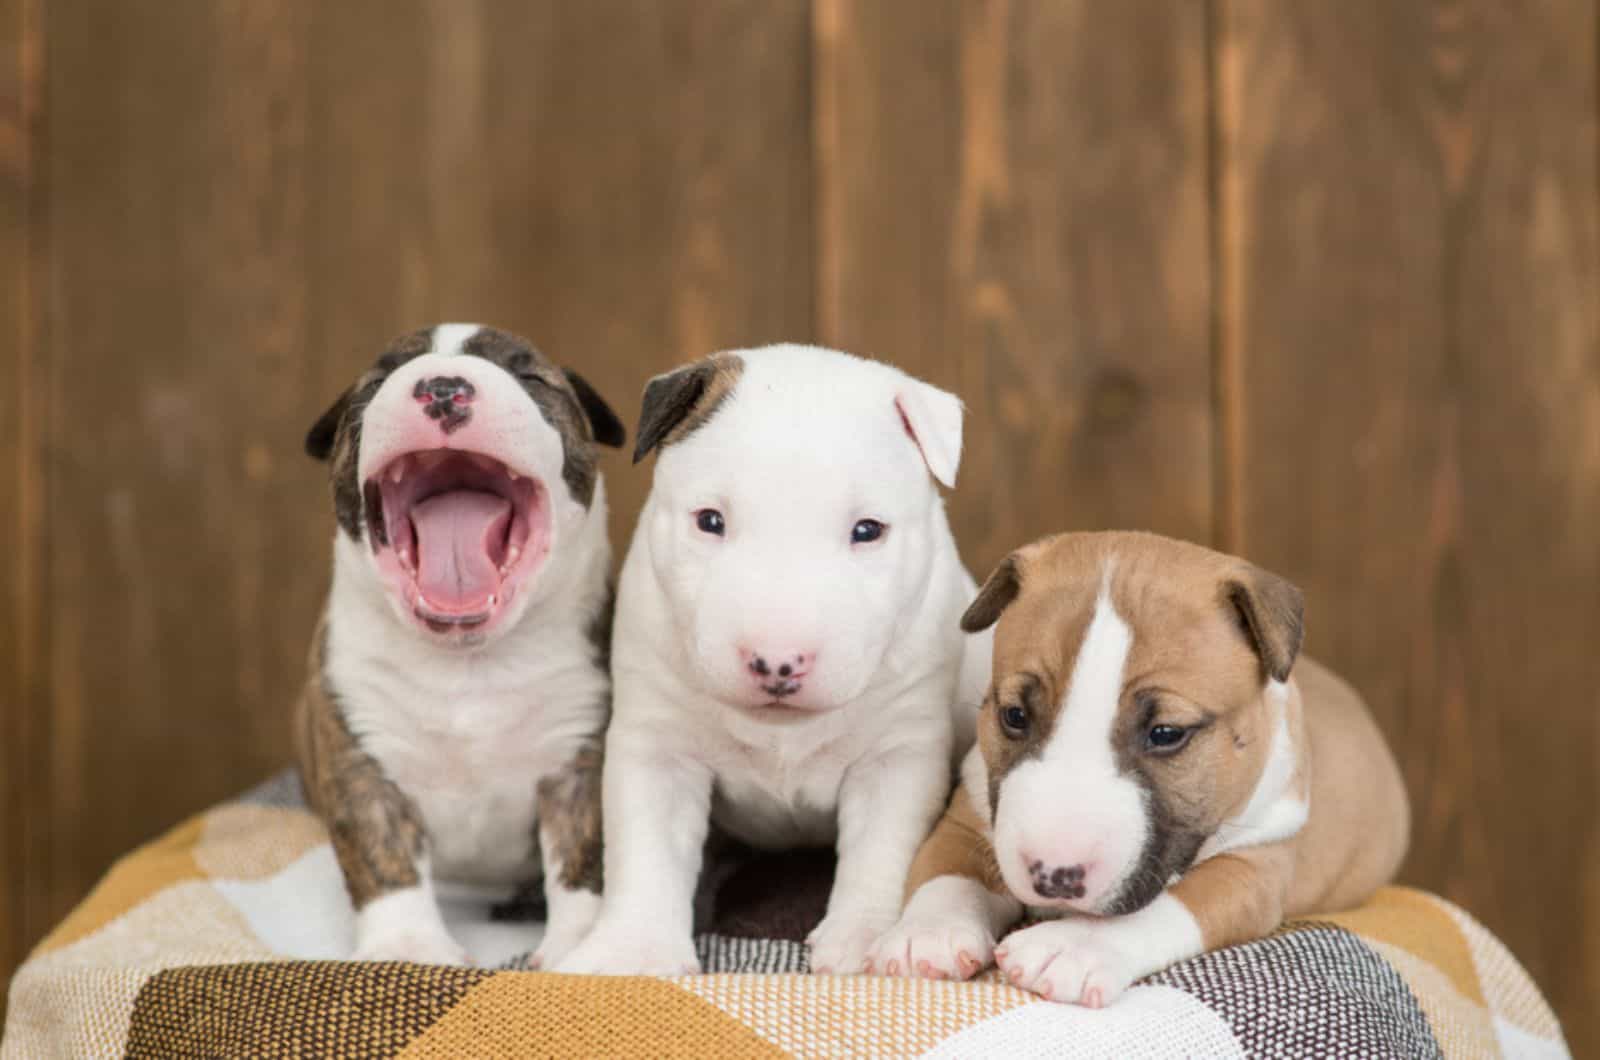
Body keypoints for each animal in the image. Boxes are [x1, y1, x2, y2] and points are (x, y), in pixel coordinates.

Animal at [297, 323, 620, 973]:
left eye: (531, 376)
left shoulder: (580, 758)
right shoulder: (356, 751)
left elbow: (583, 858)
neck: (470, 662)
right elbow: (380, 854)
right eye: (375, 381)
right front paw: (408, 947)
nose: (444, 388)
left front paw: (576, 945)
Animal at [560, 347, 985, 979]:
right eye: (710, 520)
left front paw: (863, 937)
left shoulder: (897, 755)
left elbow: (882, 848)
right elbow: (647, 849)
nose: (778, 662)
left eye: (868, 530)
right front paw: (633, 951)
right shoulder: (657, 748)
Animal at [870, 534, 1408, 1011]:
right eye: (1014, 715)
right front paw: (928, 933)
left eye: (1167, 733)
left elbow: (1170, 905)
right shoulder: (969, 812)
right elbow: (947, 871)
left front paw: (1073, 947)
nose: (1054, 876)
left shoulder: (1254, 867)